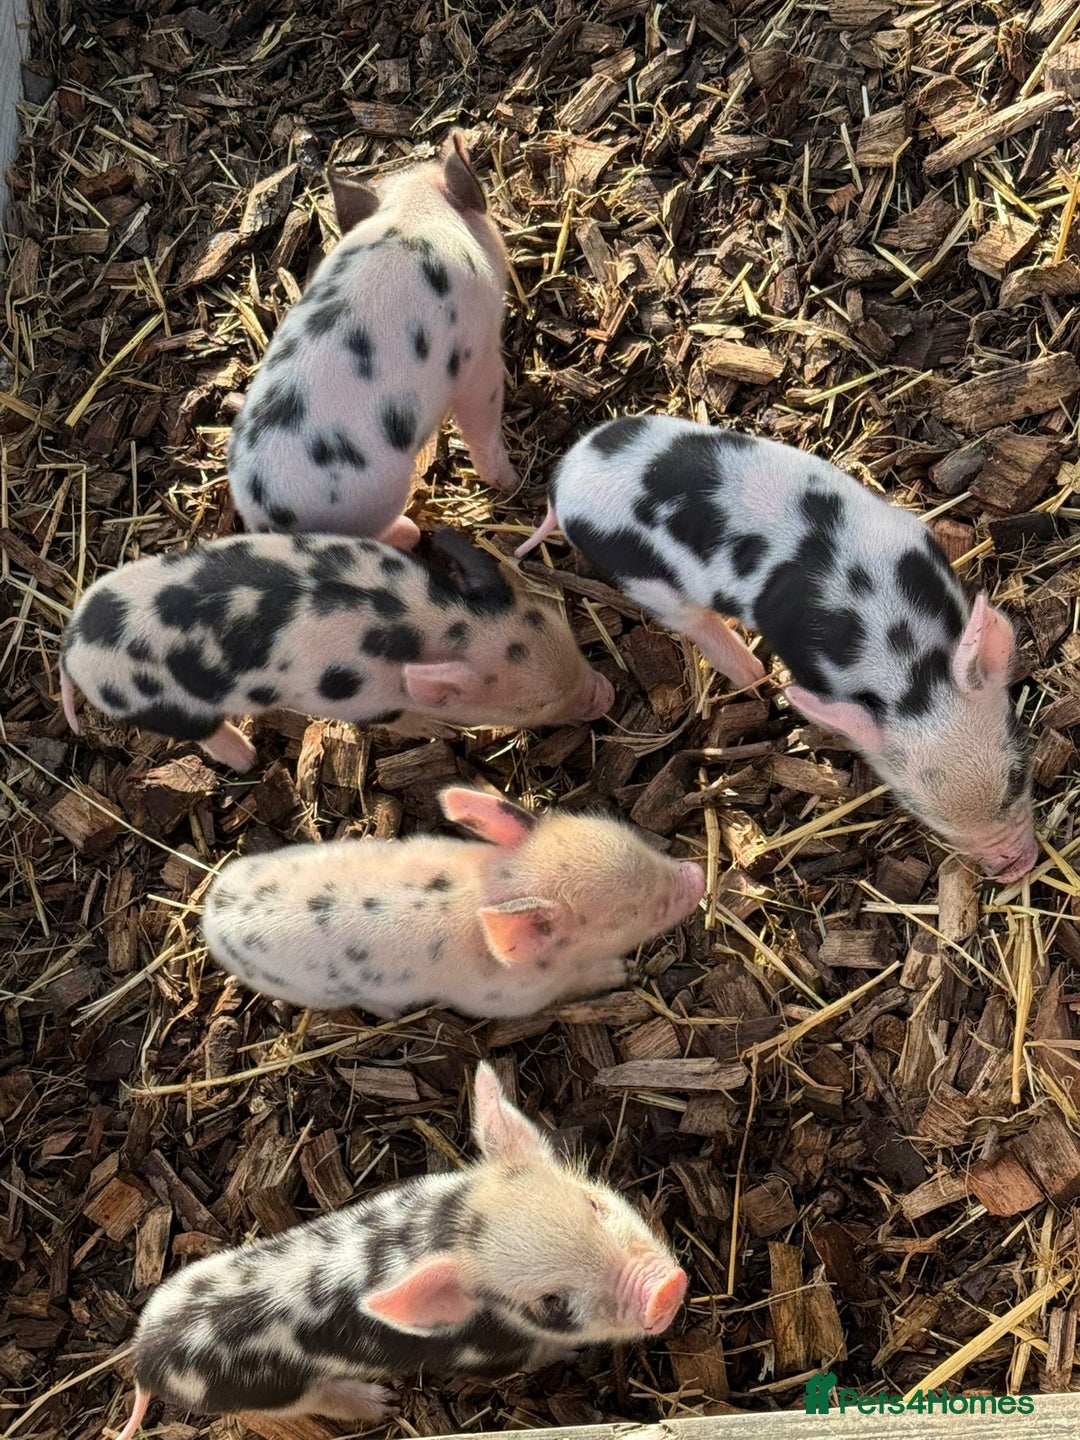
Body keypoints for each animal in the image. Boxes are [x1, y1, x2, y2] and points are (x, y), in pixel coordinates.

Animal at [60, 527, 613, 772]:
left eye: (559, 626)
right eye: (531, 707)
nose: (606, 695)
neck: (426, 621)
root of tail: (71, 648)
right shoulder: (361, 701)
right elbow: (400, 721)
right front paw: (442, 732)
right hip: (164, 706)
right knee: (206, 734)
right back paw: (248, 757)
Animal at [110, 1062, 688, 1440]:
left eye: (595, 1204)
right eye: (550, 1301)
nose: (667, 1288)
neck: (447, 1226)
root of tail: (145, 1360)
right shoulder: (489, 1357)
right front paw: (567, 1355)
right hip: (270, 1390)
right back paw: (380, 1404)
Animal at [201, 785, 706, 1018]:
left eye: (638, 843)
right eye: (629, 915)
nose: (698, 874)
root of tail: (209, 915)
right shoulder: (506, 999)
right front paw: (622, 972)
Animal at [227, 130, 516, 547]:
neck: (413, 212)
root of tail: (269, 519)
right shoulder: (478, 355)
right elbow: (482, 420)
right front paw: (510, 482)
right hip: (377, 496)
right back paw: (411, 532)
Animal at [517, 414, 1037, 882]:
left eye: (1017, 775)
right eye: (923, 813)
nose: (1013, 868)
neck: (896, 647)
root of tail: (560, 488)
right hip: (643, 579)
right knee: (694, 623)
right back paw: (753, 677)